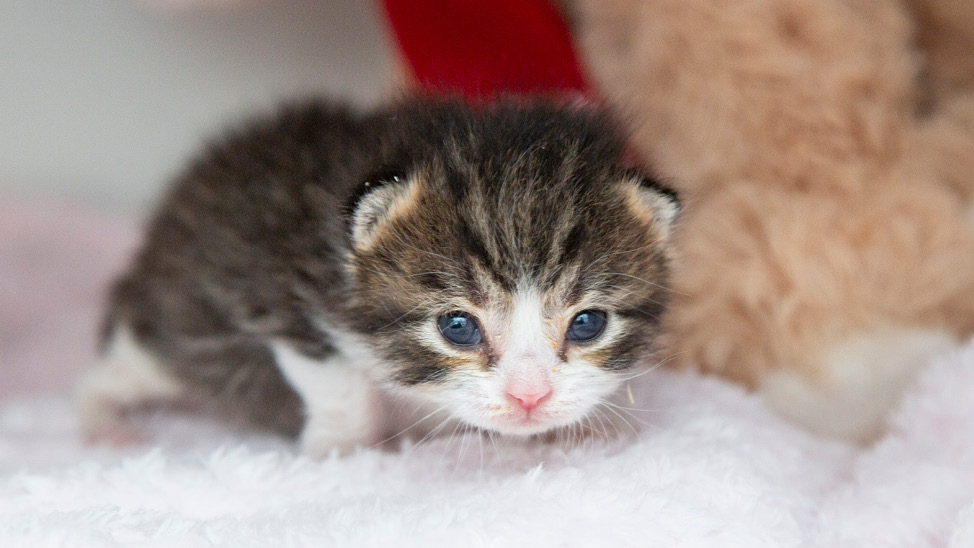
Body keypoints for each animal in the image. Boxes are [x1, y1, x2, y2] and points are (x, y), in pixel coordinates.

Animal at [76, 96, 684, 456]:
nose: (529, 398)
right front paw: (342, 450)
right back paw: (103, 427)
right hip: (169, 330)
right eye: (457, 327)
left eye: (587, 324)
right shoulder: (276, 289)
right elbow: (339, 383)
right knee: (114, 371)